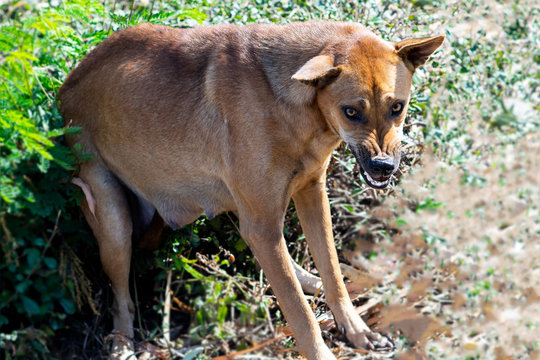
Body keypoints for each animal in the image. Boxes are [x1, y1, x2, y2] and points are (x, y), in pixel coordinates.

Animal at [58, 21, 442, 360]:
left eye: (397, 107)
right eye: (351, 112)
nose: (383, 167)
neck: (288, 100)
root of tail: (64, 91)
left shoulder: (311, 193)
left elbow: (331, 272)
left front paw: (356, 328)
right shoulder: (263, 223)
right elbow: (300, 314)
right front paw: (321, 350)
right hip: (113, 223)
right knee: (120, 298)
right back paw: (122, 344)